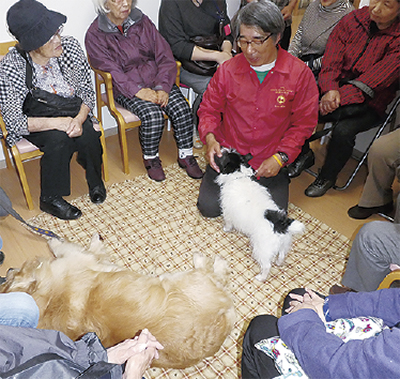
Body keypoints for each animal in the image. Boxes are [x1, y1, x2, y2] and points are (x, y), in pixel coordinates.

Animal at [216, 151, 304, 282]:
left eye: (224, 156)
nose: (221, 150)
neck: (239, 175)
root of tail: (280, 225)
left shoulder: (227, 211)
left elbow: (228, 222)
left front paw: (226, 229)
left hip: (262, 249)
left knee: (267, 266)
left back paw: (261, 277)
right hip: (284, 243)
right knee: (282, 254)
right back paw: (279, 262)